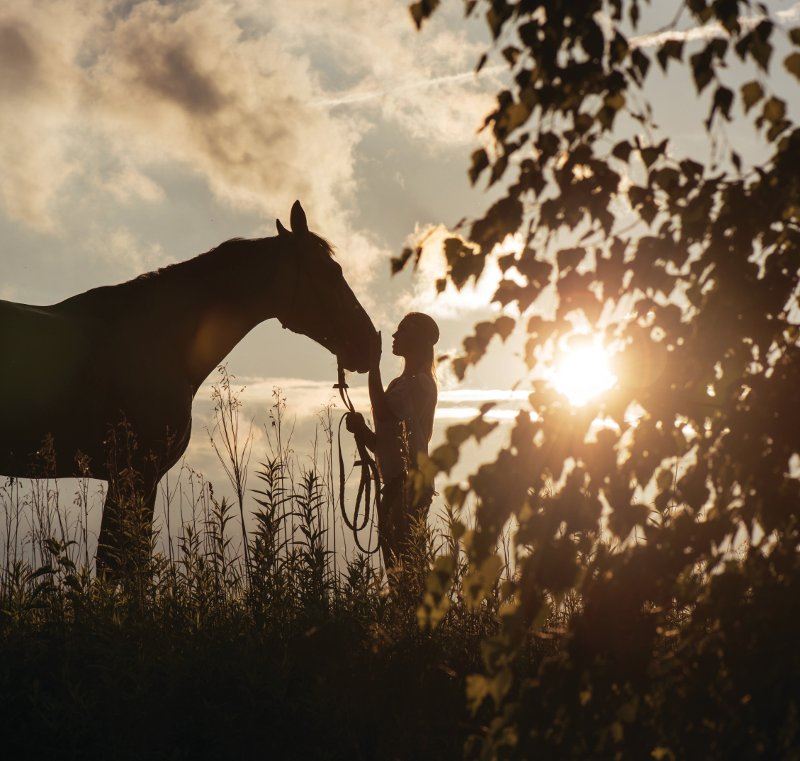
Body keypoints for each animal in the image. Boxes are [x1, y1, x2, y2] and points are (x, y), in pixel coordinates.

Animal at [0, 202, 376, 576]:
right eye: (331, 271)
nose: (371, 343)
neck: (156, 339)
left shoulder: (136, 478)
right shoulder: (135, 474)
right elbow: (122, 565)